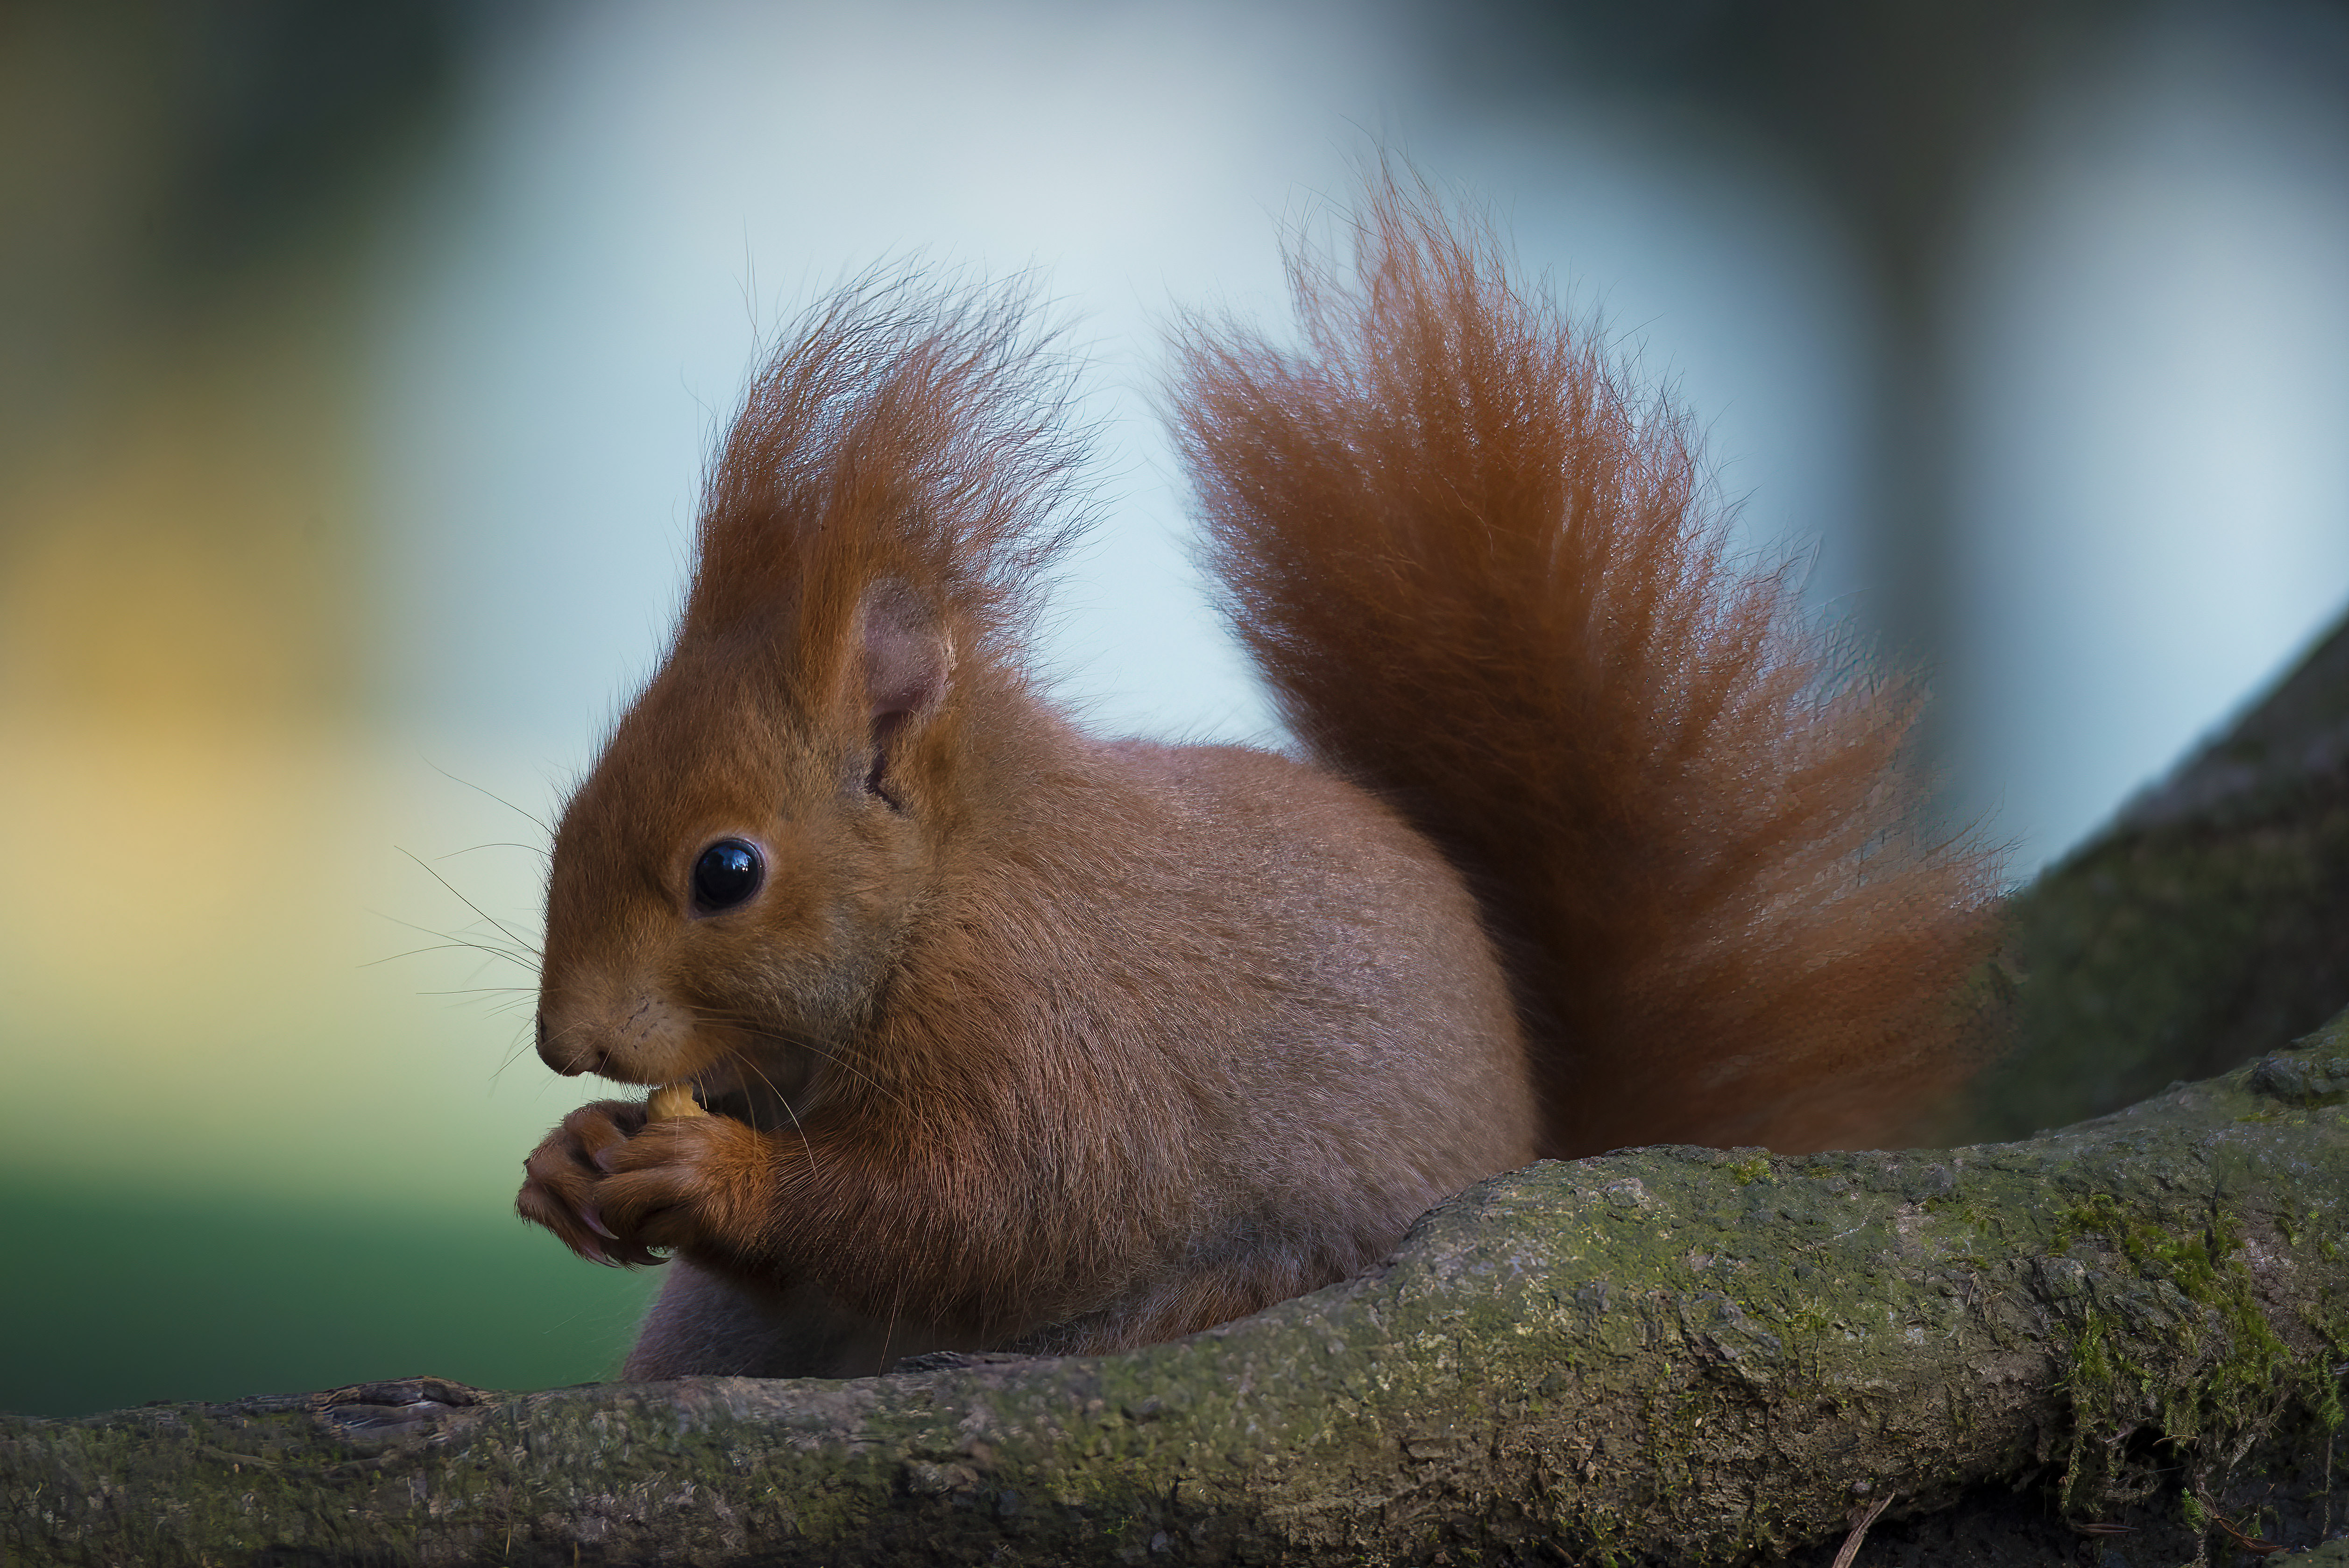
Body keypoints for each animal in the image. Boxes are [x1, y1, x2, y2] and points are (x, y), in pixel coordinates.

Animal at [514, 184, 2001, 1380]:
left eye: (727, 871)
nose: (562, 1041)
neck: (943, 892)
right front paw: (572, 1155)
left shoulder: (1049, 1021)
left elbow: (998, 1206)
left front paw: (711, 1165)